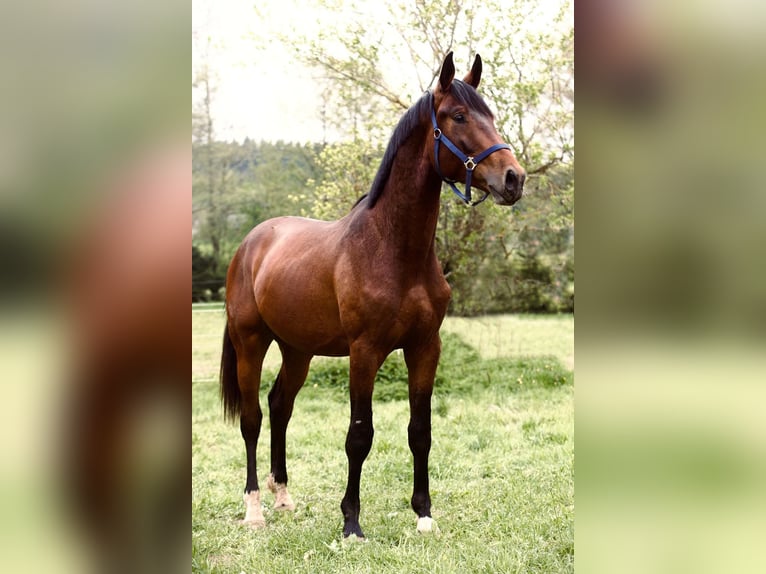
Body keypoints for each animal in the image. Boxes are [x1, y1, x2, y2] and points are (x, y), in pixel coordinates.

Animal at [220, 51, 525, 538]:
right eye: (458, 116)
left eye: (491, 116)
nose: (514, 178)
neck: (393, 250)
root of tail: (251, 242)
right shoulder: (365, 352)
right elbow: (359, 435)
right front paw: (351, 523)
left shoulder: (425, 348)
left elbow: (421, 431)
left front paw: (424, 514)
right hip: (251, 343)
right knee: (253, 418)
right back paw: (254, 509)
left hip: (297, 350)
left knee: (280, 407)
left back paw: (283, 495)